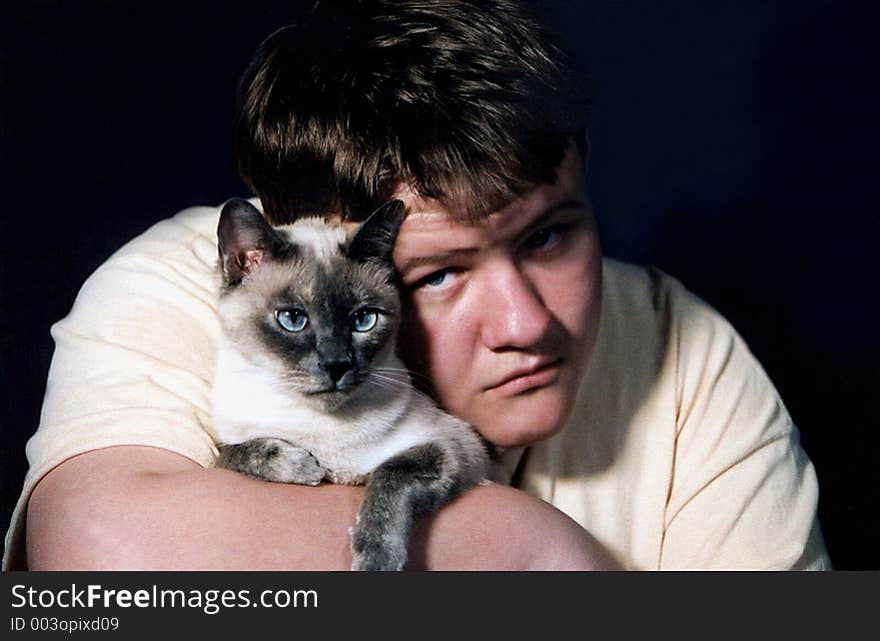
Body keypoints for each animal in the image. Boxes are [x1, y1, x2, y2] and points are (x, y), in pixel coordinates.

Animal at [211, 198, 492, 568]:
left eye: (363, 320)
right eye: (292, 319)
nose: (337, 365)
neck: (322, 430)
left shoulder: (453, 447)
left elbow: (388, 477)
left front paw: (376, 560)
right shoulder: (220, 447)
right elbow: (239, 453)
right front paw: (304, 468)